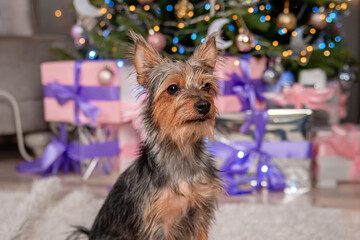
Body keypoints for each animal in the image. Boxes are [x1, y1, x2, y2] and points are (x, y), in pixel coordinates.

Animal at [72, 31, 224, 239]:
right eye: (173, 88)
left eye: (206, 86)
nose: (204, 105)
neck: (182, 150)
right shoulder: (158, 223)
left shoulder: (200, 215)